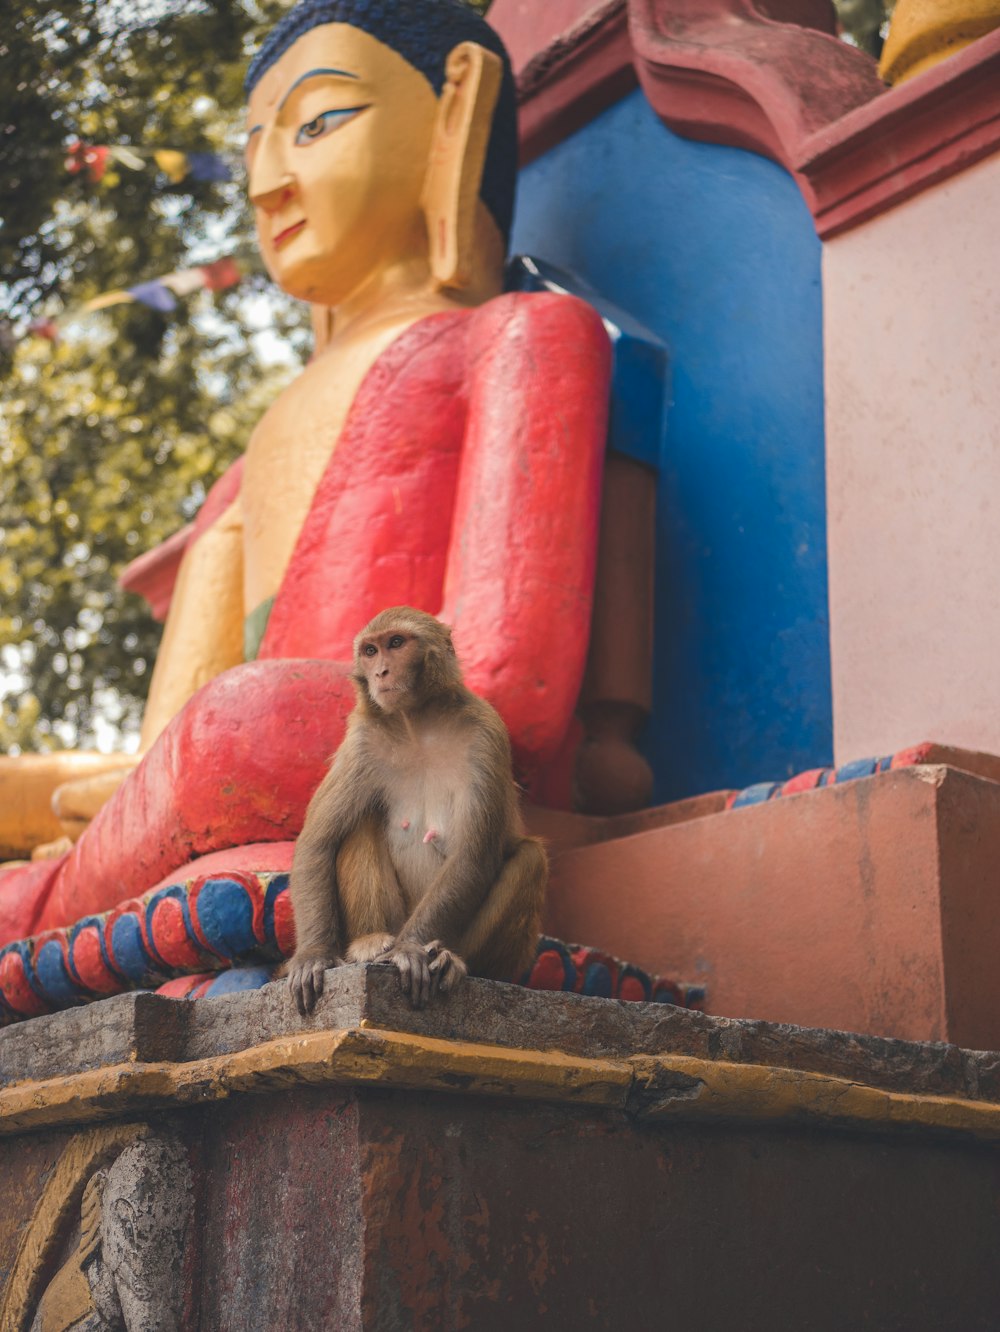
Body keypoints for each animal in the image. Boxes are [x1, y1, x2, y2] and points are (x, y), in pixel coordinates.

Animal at [279, 610, 548, 1012]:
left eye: (396, 644)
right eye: (370, 651)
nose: (380, 672)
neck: (417, 723)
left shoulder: (485, 734)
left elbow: (472, 856)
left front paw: (410, 949)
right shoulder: (361, 742)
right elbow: (318, 843)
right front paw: (314, 954)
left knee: (530, 857)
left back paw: (452, 960)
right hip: (395, 916)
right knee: (361, 823)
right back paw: (369, 943)